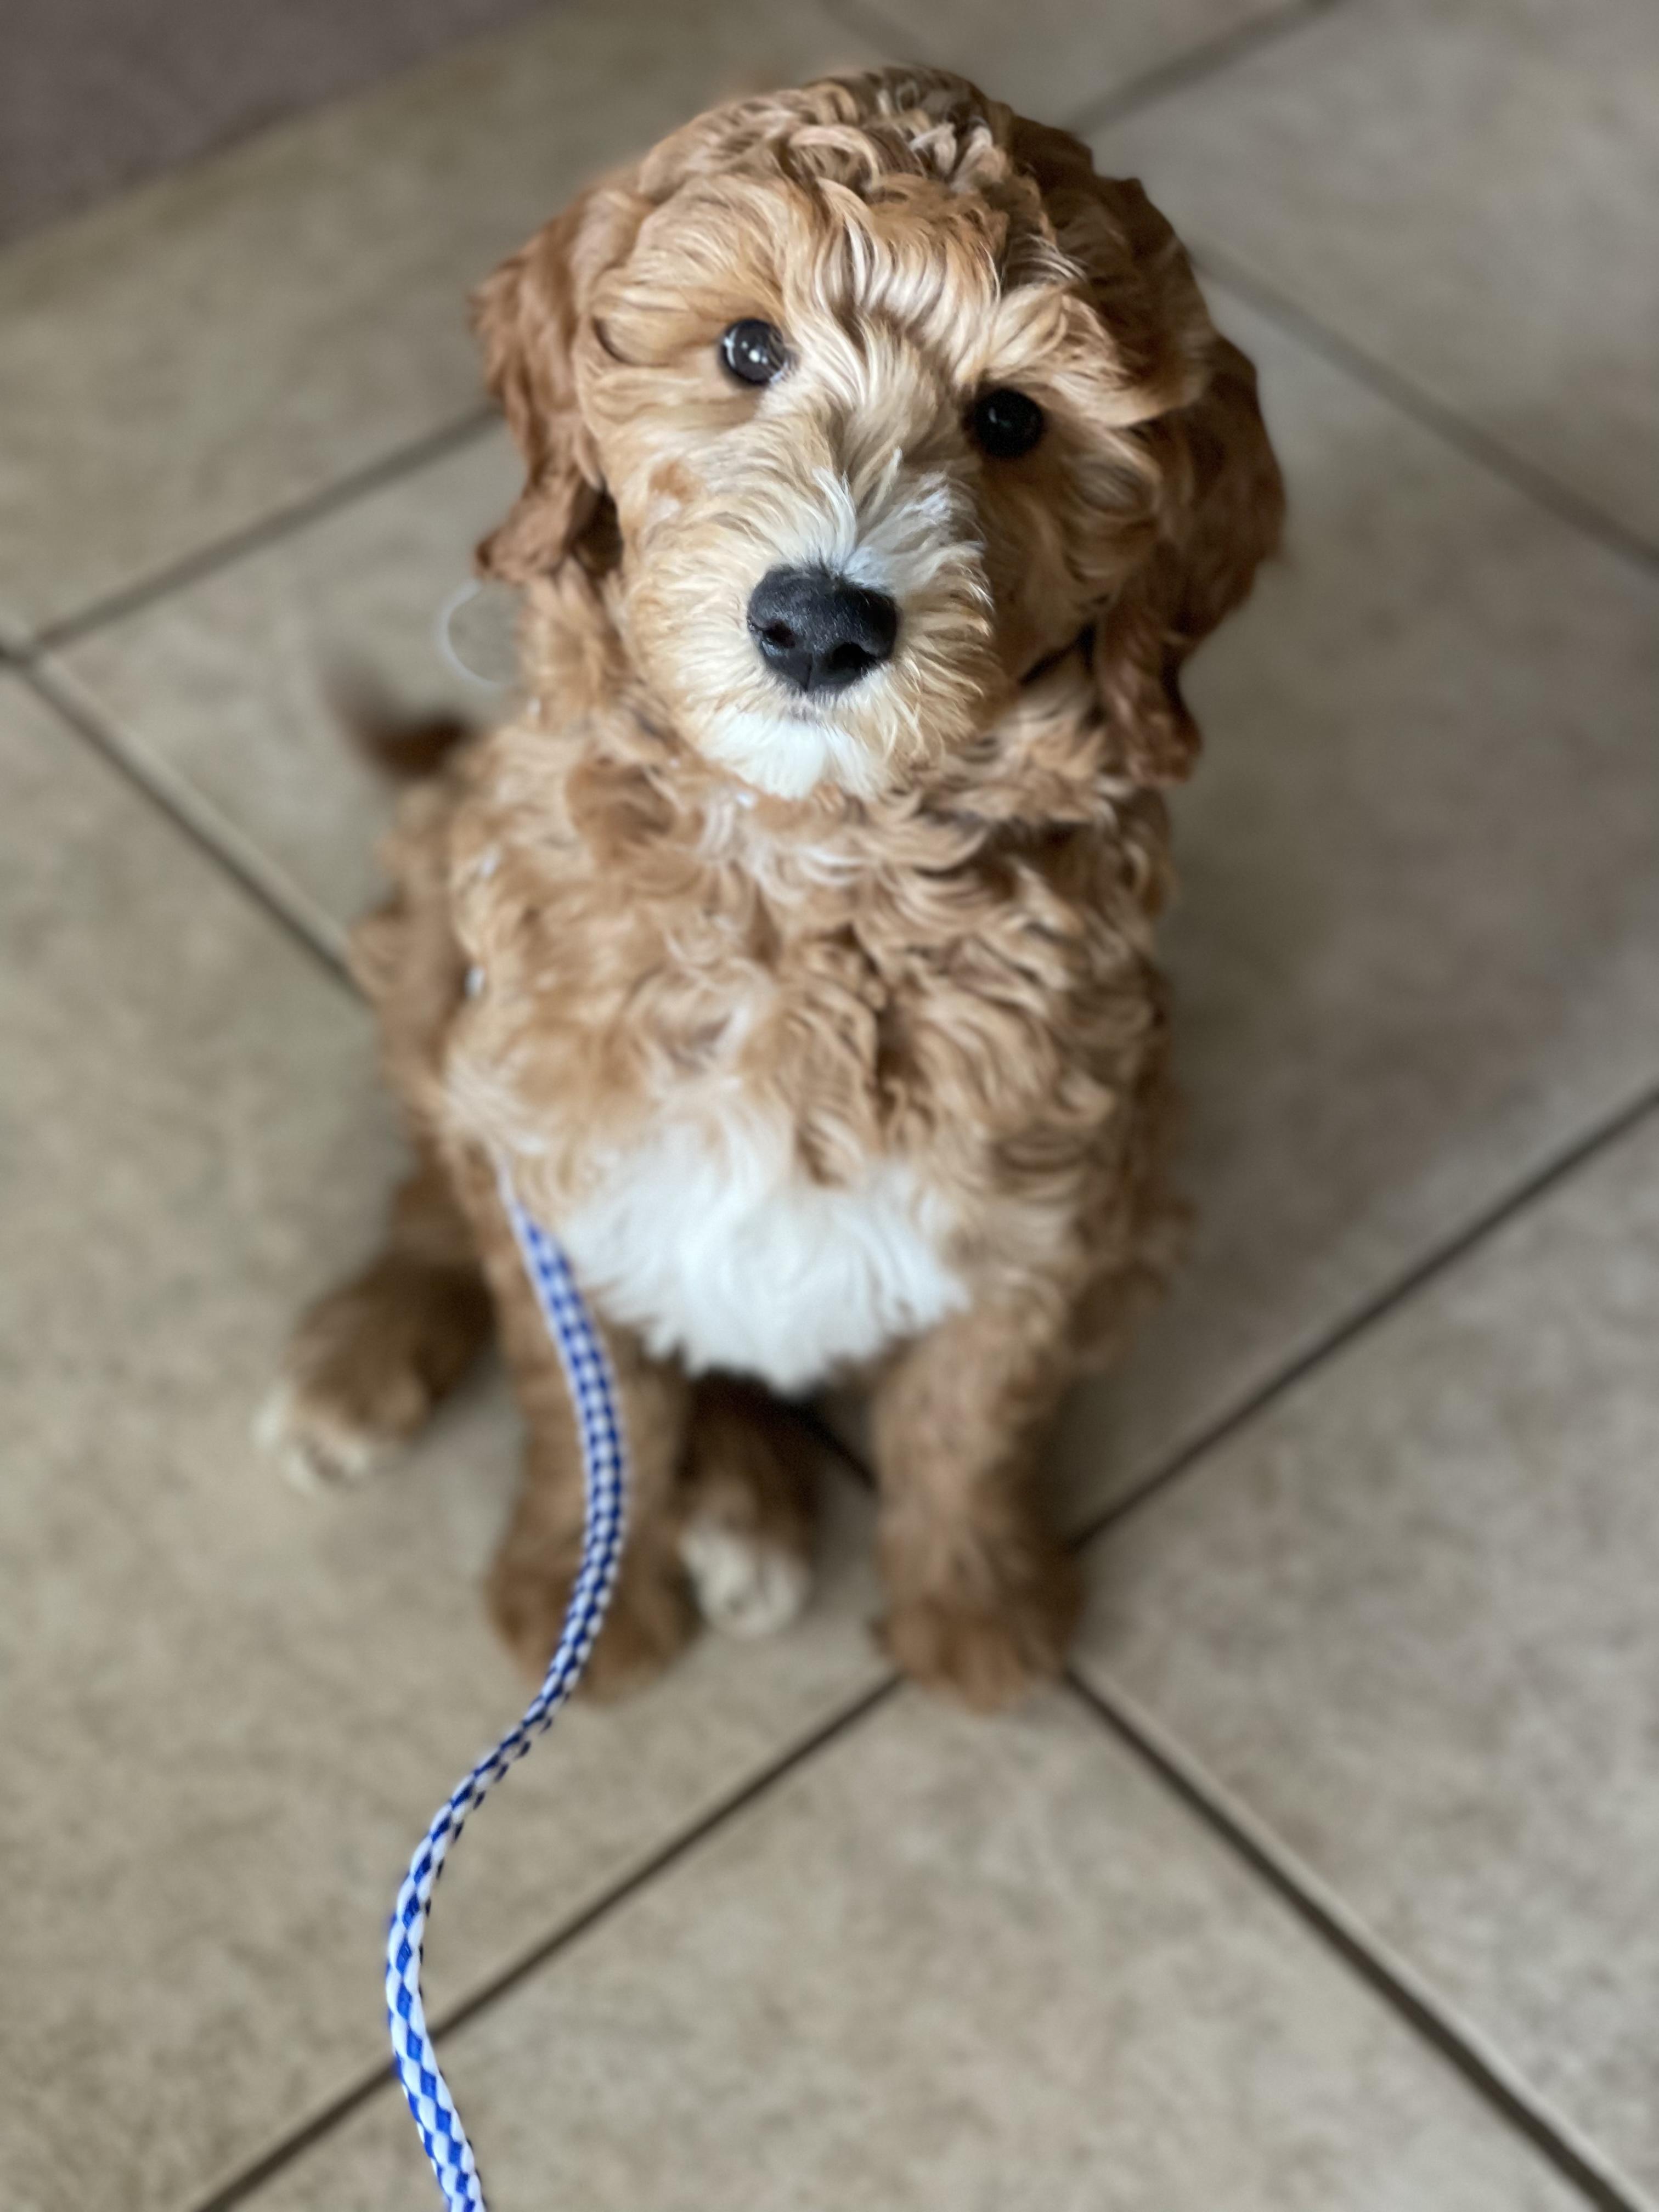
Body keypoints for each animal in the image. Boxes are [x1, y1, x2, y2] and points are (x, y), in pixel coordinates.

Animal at [259, 67, 1283, 1711]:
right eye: (748, 349)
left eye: (1013, 418)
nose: (818, 622)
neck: (809, 879)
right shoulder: (563, 1153)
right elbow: (585, 1414)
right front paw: (580, 1604)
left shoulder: (1055, 1197)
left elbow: (972, 1419)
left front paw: (974, 1609)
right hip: (432, 930)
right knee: (430, 1185)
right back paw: (366, 1355)